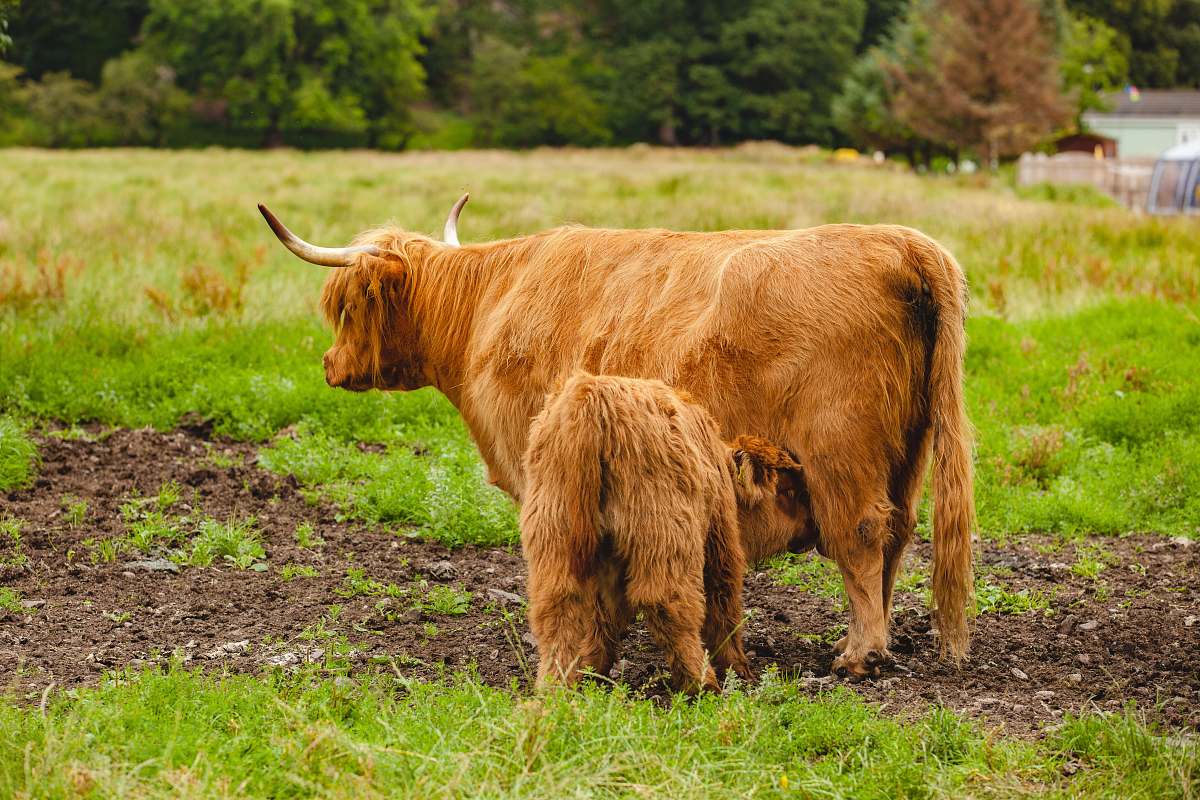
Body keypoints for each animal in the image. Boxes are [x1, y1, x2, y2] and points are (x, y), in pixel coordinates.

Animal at [520, 371, 811, 690]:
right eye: (788, 492)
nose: (812, 528)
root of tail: (592, 395)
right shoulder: (720, 542)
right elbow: (722, 605)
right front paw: (740, 670)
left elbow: (603, 616)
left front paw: (591, 669)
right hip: (666, 540)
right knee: (667, 603)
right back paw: (702, 684)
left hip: (554, 537)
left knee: (557, 606)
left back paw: (554, 687)